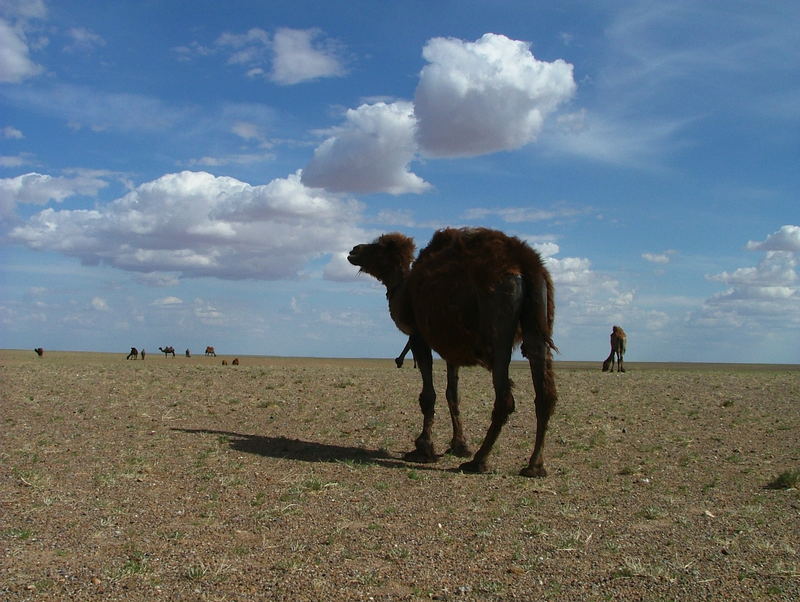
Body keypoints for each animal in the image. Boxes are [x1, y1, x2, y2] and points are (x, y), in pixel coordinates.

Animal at [346, 227, 560, 476]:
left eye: (379, 246)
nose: (354, 250)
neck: (404, 290)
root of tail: (526, 262)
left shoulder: (419, 336)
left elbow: (428, 395)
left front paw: (423, 449)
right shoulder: (453, 347)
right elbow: (453, 394)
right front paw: (459, 445)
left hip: (498, 318)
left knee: (505, 396)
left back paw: (478, 461)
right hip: (538, 317)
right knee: (544, 390)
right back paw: (534, 466)